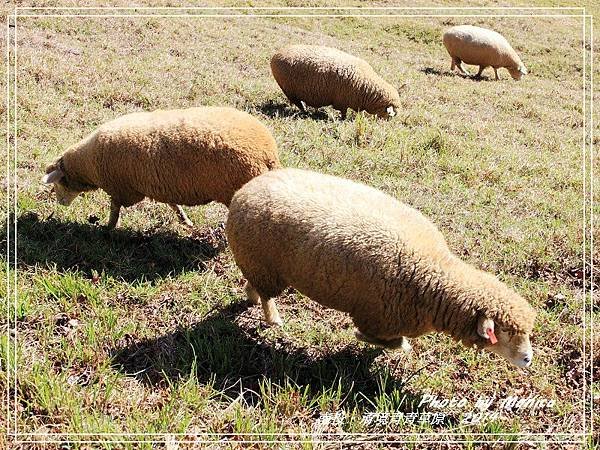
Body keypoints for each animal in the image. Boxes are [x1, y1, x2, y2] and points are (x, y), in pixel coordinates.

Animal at [42, 106, 282, 229]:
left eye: (58, 184)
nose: (61, 204)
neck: (89, 164)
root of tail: (268, 152)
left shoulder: (121, 189)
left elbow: (114, 210)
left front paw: (107, 228)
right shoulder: (164, 184)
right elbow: (173, 204)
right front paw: (185, 220)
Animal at [227, 167, 536, 368]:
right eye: (505, 333)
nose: (528, 359)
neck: (436, 273)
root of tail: (246, 188)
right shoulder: (375, 316)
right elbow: (386, 341)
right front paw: (376, 342)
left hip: (257, 263)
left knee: (254, 286)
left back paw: (250, 297)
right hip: (264, 265)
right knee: (267, 296)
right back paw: (273, 318)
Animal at [272, 44, 404, 118]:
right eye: (390, 115)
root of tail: (276, 55)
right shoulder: (342, 101)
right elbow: (343, 112)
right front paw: (343, 119)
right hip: (289, 90)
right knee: (298, 103)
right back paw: (305, 111)